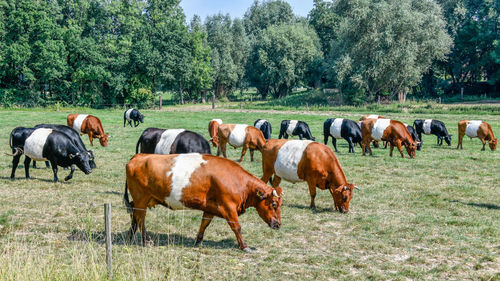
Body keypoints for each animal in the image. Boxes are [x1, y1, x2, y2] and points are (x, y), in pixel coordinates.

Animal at [123, 153, 284, 252]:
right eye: (274, 204)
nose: (278, 224)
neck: (239, 182)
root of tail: (139, 156)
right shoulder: (228, 207)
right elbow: (237, 227)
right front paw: (245, 246)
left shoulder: (210, 208)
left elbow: (204, 224)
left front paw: (198, 241)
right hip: (141, 198)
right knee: (140, 218)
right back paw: (146, 240)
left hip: (142, 200)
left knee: (134, 214)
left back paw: (130, 235)